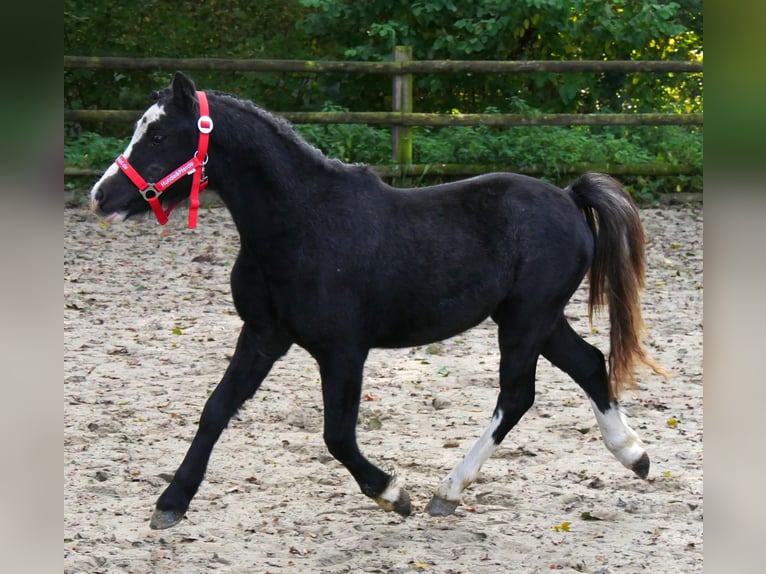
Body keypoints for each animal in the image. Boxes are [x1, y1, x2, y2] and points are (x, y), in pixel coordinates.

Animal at [88, 72, 664, 532]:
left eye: (159, 134)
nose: (100, 196)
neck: (301, 223)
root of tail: (569, 198)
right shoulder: (263, 335)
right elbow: (215, 410)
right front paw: (171, 502)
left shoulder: (343, 350)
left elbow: (337, 436)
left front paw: (393, 494)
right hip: (537, 320)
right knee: (589, 363)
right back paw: (634, 456)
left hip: (526, 321)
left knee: (518, 395)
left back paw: (446, 491)